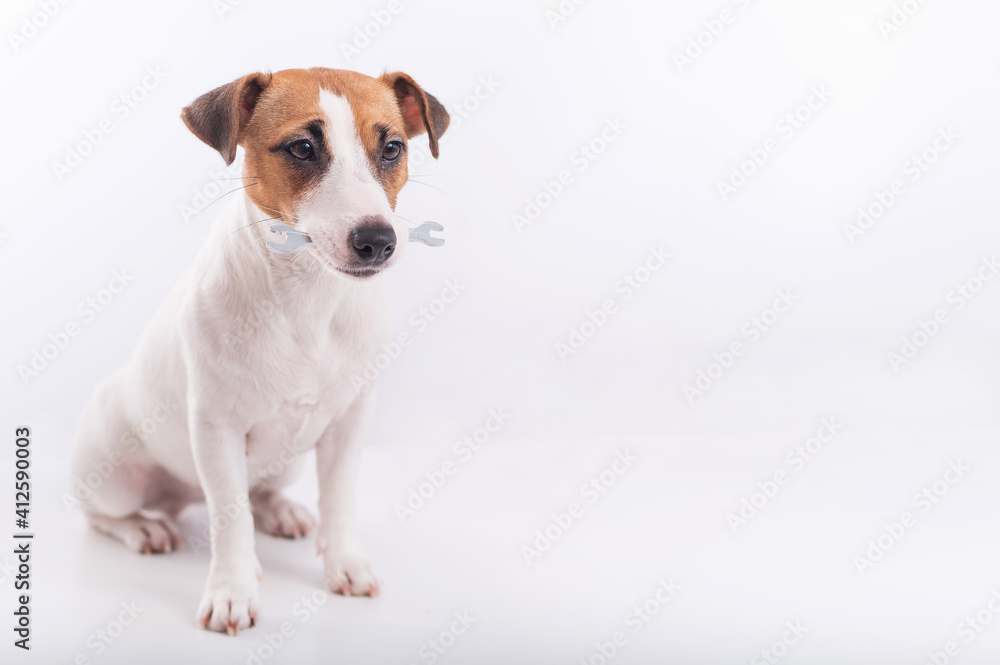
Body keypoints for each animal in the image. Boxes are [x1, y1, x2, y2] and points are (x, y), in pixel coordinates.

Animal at [68, 67, 448, 632]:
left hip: (287, 461)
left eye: (393, 148)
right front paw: (233, 590)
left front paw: (345, 563)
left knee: (261, 489)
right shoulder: (216, 428)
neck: (309, 299)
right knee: (100, 515)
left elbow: (339, 500)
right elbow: (230, 519)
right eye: (302, 147)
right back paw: (143, 528)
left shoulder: (349, 422)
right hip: (115, 475)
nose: (378, 241)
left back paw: (278, 510)